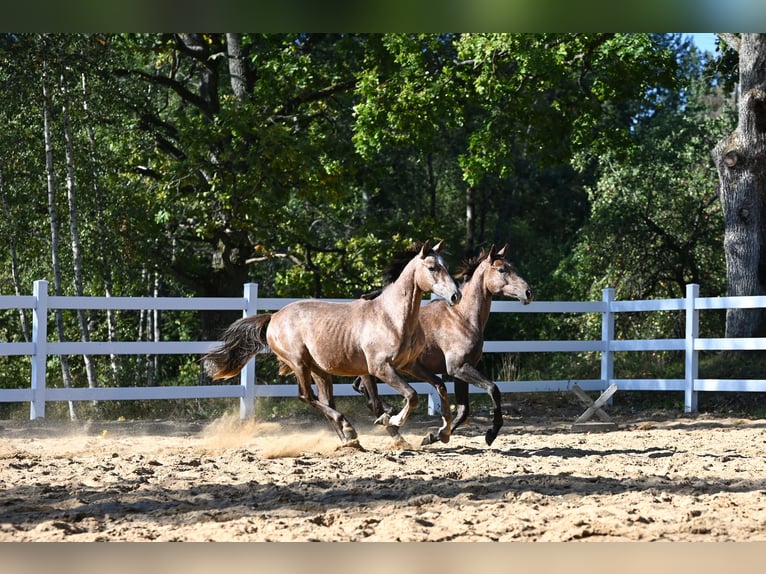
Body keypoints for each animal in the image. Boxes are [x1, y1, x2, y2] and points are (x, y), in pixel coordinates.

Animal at [204, 241, 462, 452]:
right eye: (432, 268)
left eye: (446, 266)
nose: (456, 296)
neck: (391, 317)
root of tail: (274, 317)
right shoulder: (380, 368)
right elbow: (411, 395)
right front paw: (393, 420)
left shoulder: (409, 365)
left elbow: (439, 386)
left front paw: (442, 433)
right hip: (299, 363)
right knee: (306, 396)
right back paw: (349, 429)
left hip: (320, 370)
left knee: (326, 402)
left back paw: (350, 439)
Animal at [354, 245, 536, 448]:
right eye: (502, 270)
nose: (528, 292)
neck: (462, 317)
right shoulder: (458, 368)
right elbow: (493, 389)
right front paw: (491, 434)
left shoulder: (460, 372)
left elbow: (463, 410)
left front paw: (435, 436)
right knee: (372, 400)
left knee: (361, 389)